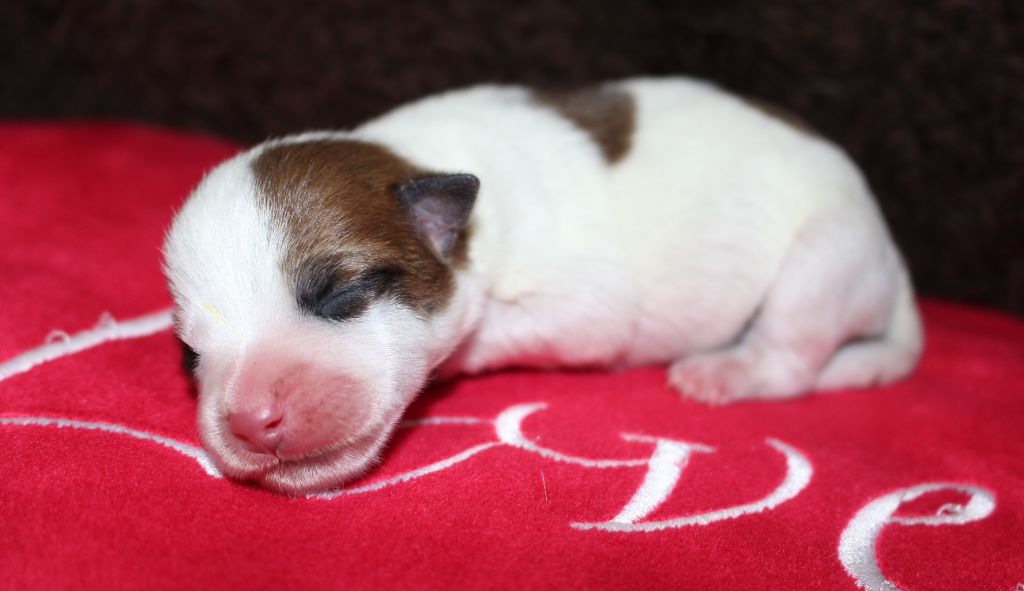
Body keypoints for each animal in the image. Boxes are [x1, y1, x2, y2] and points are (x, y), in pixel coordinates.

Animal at [163, 78, 925, 493]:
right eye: (193, 354)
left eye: (341, 295)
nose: (248, 420)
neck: (418, 161)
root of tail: (893, 264)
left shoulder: (585, 307)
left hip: (823, 257)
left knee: (794, 357)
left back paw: (727, 369)